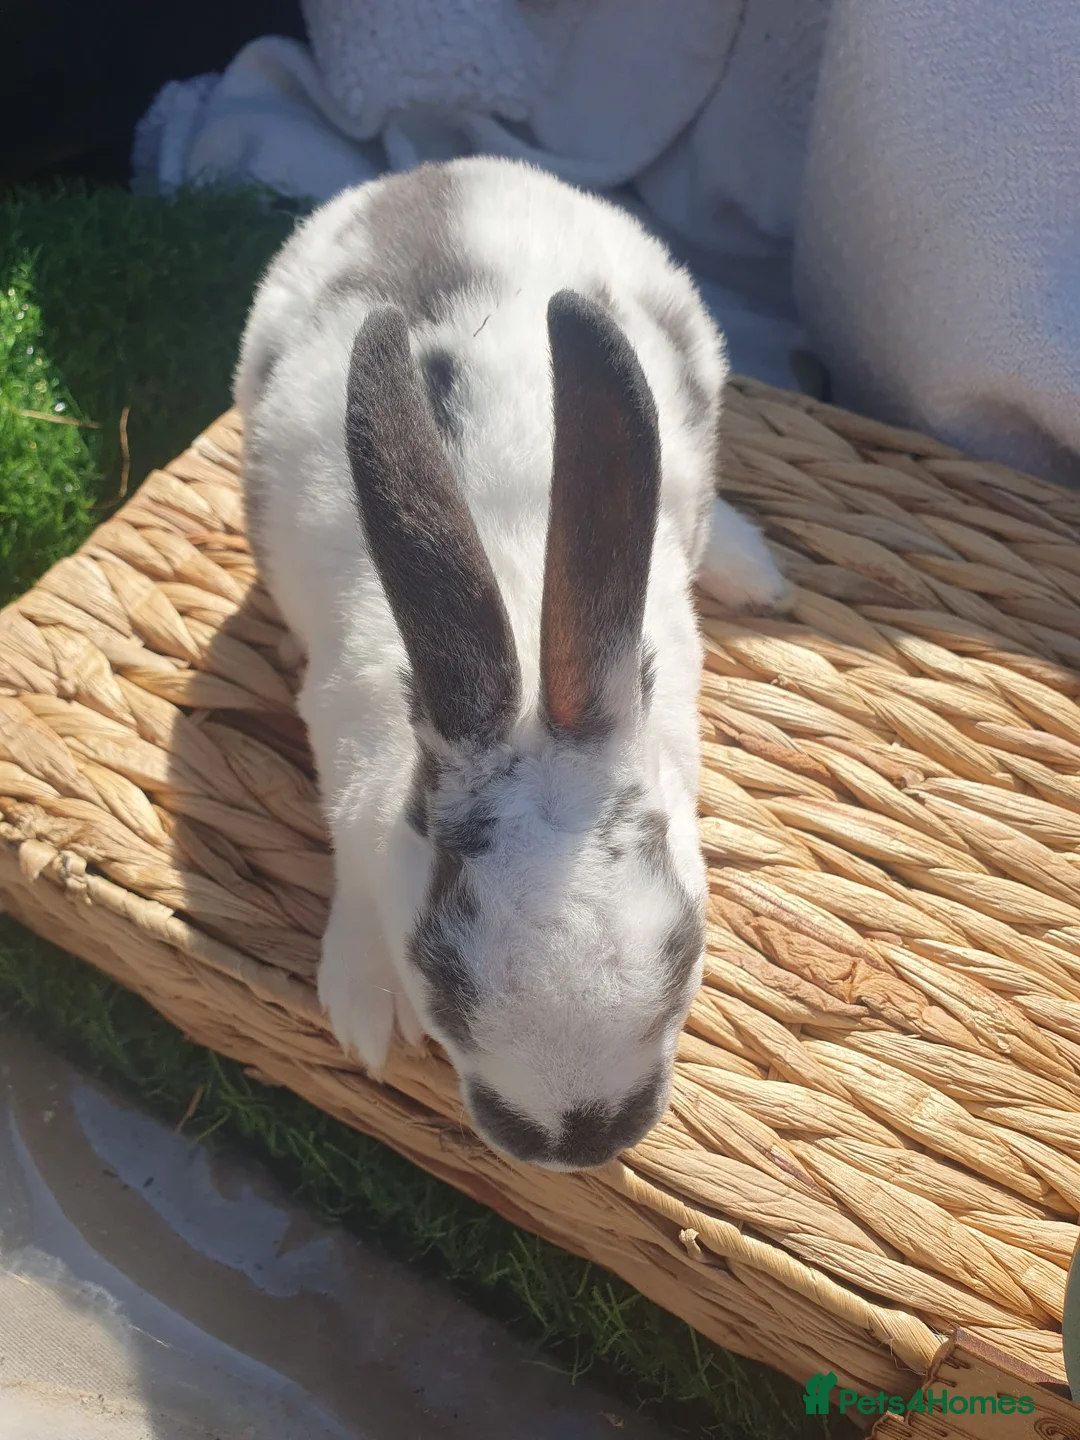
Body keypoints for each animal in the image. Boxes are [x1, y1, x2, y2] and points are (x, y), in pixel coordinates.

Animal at [234, 157, 789, 1171]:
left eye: (684, 953)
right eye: (443, 977)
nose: (578, 1139)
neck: (529, 670)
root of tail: (450, 168)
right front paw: (364, 1012)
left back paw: (752, 572)